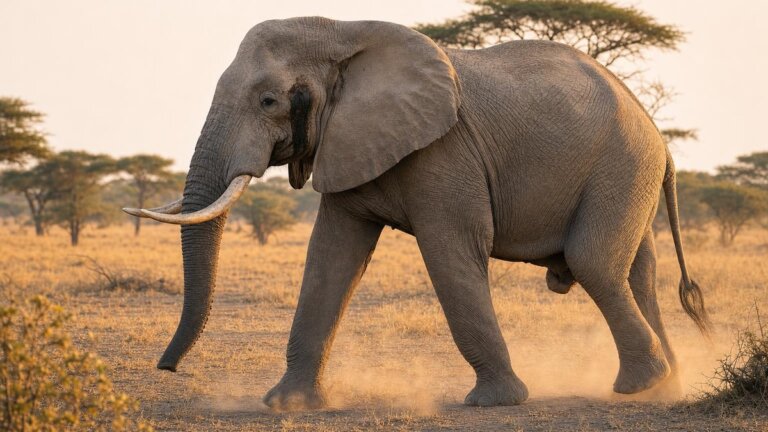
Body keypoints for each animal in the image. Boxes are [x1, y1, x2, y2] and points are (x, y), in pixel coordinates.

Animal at [123, 17, 710, 410]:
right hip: (627, 175)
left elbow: (452, 253)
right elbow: (331, 258)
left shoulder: (445, 153)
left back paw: (640, 385)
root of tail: (657, 134)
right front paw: (287, 405)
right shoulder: (349, 138)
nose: (168, 368)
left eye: (269, 101)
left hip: (621, 166)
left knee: (595, 264)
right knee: (639, 275)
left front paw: (496, 402)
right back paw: (667, 388)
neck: (344, 34)